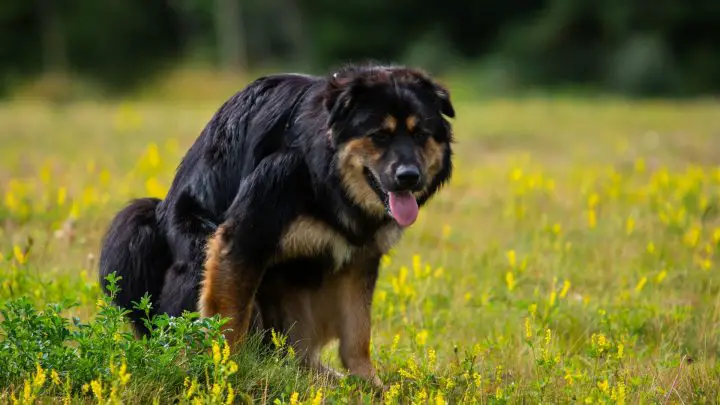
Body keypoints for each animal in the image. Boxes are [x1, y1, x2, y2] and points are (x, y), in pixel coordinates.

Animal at [98, 60, 456, 386]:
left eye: (420, 134)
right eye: (380, 135)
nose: (409, 177)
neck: (323, 176)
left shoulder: (360, 257)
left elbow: (357, 332)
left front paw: (367, 383)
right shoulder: (244, 234)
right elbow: (228, 321)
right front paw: (223, 373)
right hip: (147, 227)